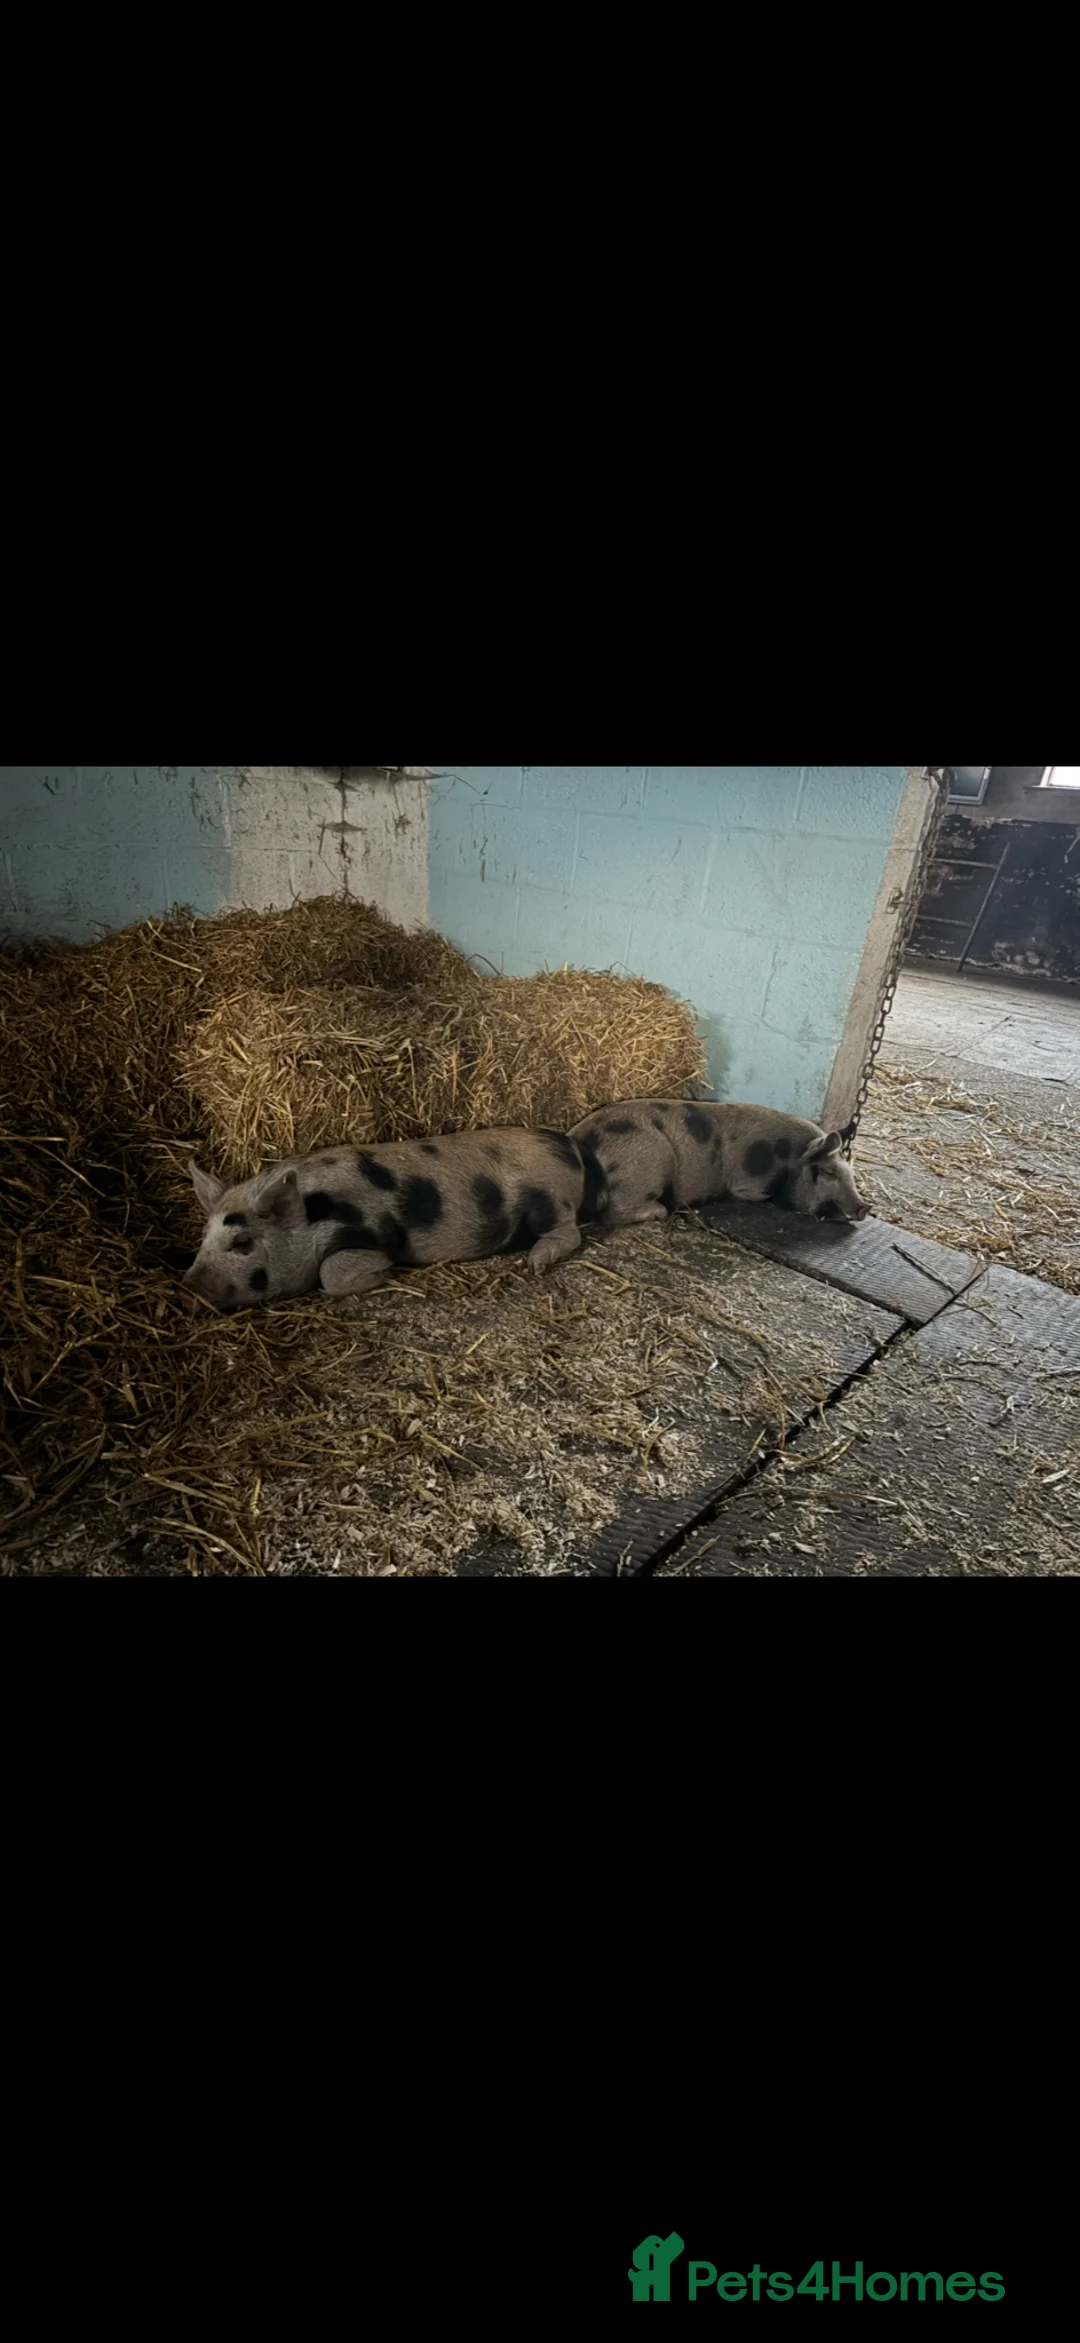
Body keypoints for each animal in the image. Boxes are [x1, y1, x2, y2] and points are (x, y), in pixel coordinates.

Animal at [184, 1127, 605, 1311]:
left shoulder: (367, 1231)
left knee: (569, 1234)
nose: (188, 1287)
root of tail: (568, 1143)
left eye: (242, 1243)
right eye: (202, 1240)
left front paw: (380, 1274)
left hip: (549, 1198)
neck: (314, 1212)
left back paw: (535, 1262)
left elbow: (331, 1274)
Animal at [569, 1100, 871, 1231]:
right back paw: (661, 1212)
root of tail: (581, 1140)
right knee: (613, 1214)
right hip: (644, 1168)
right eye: (829, 1172)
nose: (865, 1207)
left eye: (851, 1174)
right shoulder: (747, 1183)